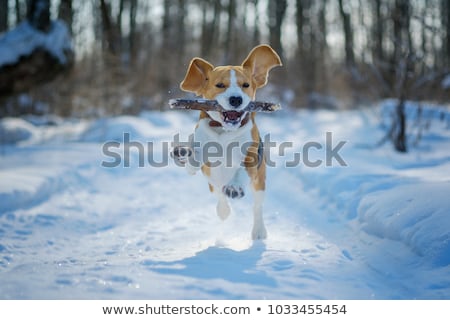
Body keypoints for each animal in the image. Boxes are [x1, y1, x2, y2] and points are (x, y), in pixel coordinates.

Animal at [172, 45, 282, 240]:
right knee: (219, 195)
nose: (236, 99)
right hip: (212, 184)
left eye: (246, 85)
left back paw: (258, 230)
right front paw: (188, 155)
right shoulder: (203, 148)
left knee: (257, 206)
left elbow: (242, 170)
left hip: (259, 182)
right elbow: (196, 157)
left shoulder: (251, 158)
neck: (225, 131)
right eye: (220, 85)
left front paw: (235, 187)